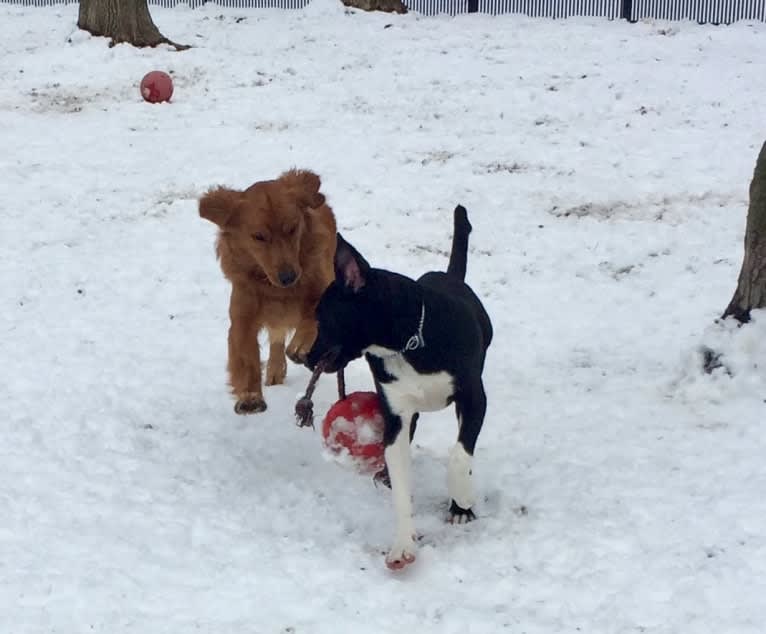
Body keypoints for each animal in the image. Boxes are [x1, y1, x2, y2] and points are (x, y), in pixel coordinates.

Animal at [200, 170, 338, 412]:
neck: (275, 288)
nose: (288, 277)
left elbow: (311, 316)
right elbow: (245, 354)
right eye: (259, 236)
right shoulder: (242, 317)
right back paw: (275, 369)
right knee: (276, 338)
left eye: (292, 228)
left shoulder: (323, 289)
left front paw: (301, 342)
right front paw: (250, 396)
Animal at [308, 206, 496, 568]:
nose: (302, 357)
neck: (408, 344)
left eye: (322, 318)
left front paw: (462, 499)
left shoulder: (474, 398)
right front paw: (402, 545)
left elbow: (458, 456)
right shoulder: (395, 414)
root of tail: (449, 276)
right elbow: (399, 480)